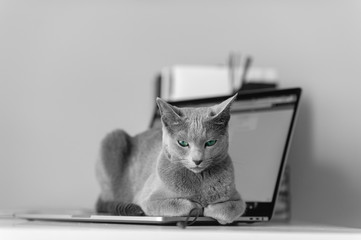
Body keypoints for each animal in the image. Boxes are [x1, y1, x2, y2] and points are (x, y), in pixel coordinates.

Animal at [94, 93, 246, 223]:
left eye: (210, 142)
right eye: (183, 143)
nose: (197, 160)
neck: (199, 180)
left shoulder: (239, 200)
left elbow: (229, 208)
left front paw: (210, 208)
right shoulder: (147, 200)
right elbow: (176, 204)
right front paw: (198, 206)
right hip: (113, 138)